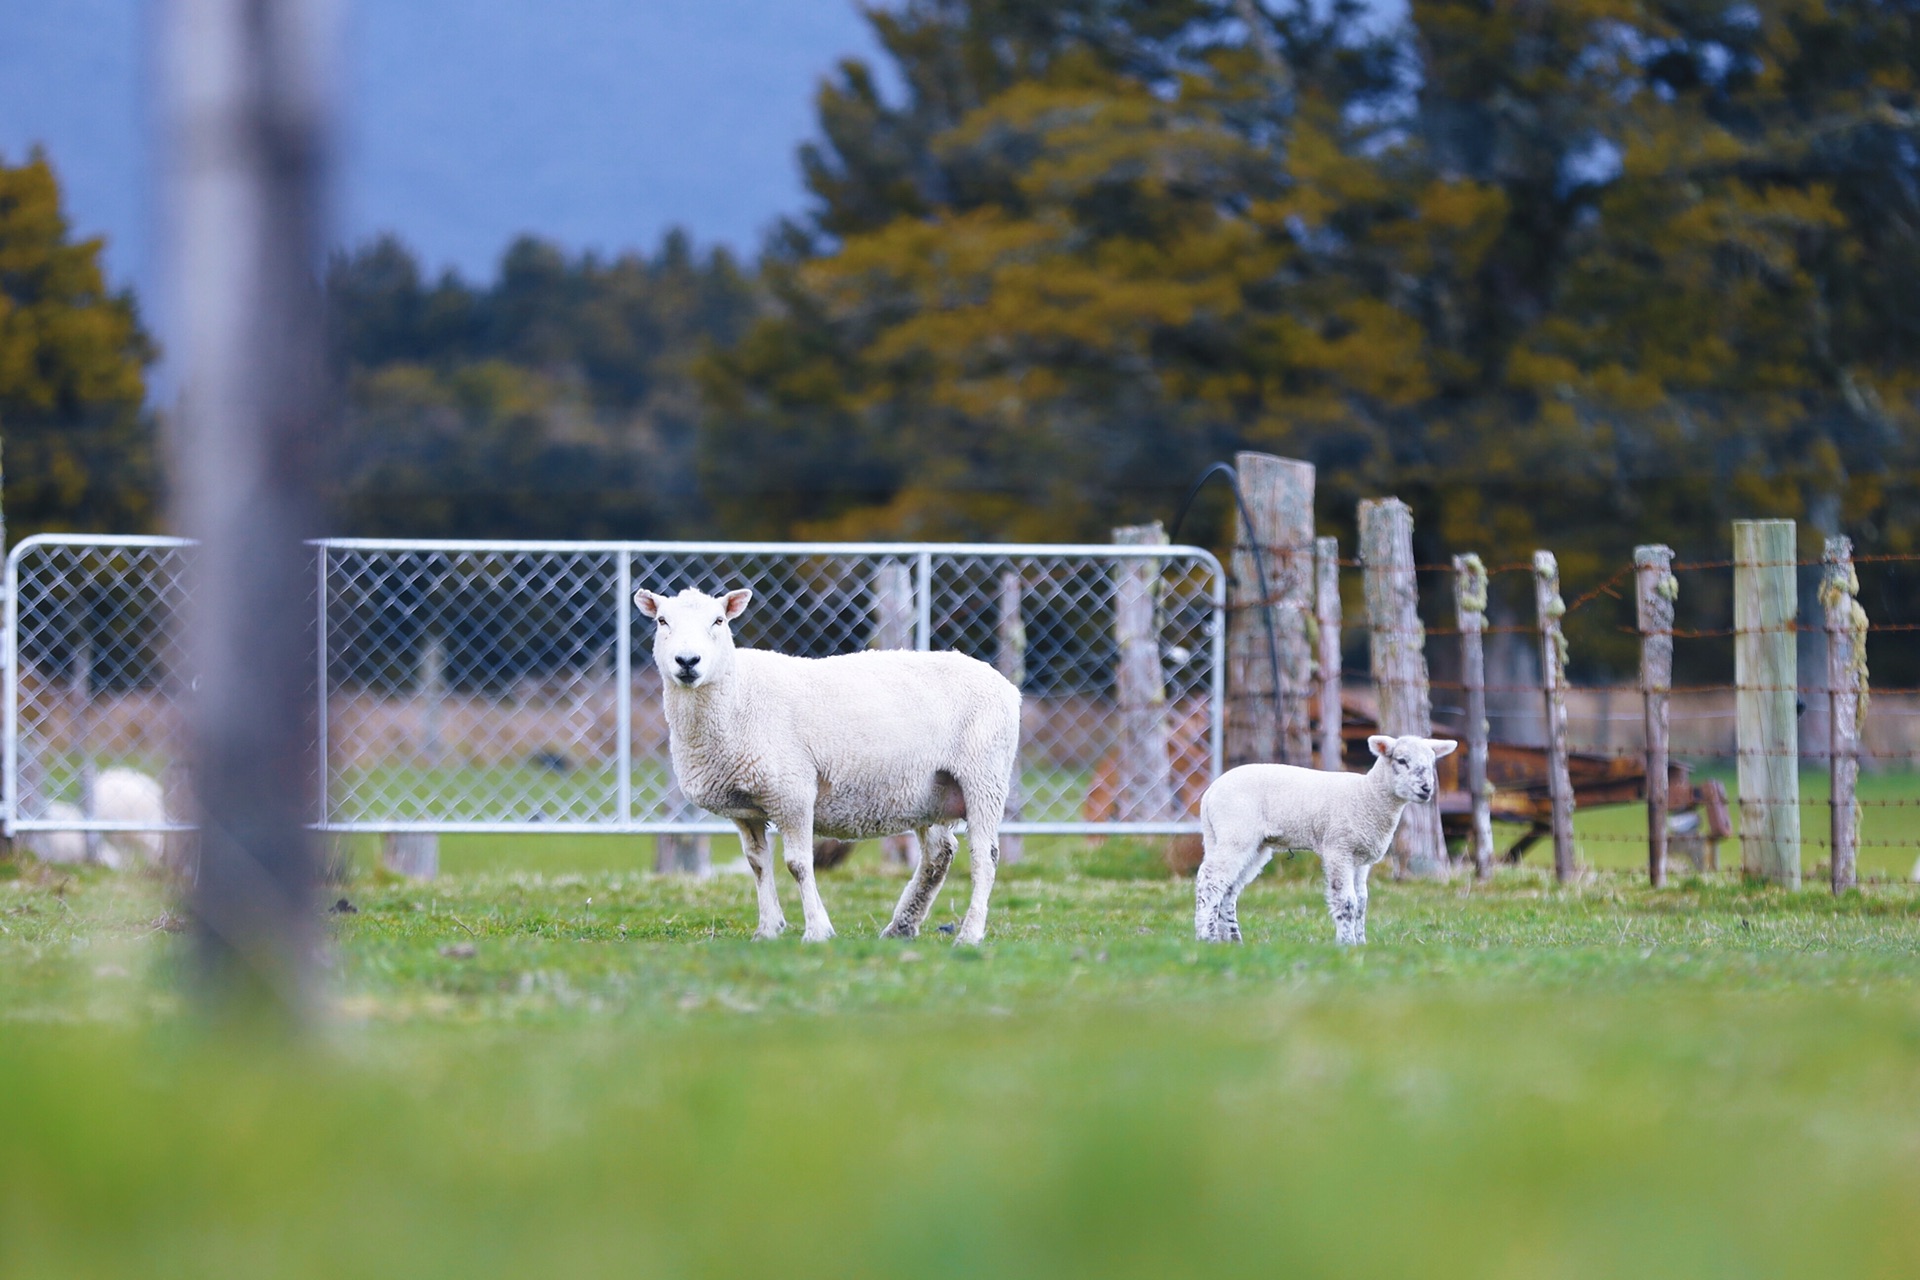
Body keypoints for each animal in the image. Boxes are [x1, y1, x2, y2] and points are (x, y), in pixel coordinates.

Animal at [633, 587, 1029, 948]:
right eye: (662, 621)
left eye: (718, 620)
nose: (688, 661)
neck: (738, 695)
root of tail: (1005, 685)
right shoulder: (746, 809)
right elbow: (757, 863)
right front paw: (768, 929)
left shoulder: (792, 791)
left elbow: (798, 864)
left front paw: (817, 930)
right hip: (930, 791)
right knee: (939, 854)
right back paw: (901, 926)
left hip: (984, 774)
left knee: (985, 857)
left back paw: (970, 933)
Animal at [1198, 736, 1451, 948]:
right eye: (1401, 760)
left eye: (1432, 762)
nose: (1426, 789)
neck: (1367, 796)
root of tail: (1209, 793)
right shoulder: (1338, 848)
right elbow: (1346, 901)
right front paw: (1346, 943)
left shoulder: (1361, 859)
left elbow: (1362, 902)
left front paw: (1361, 942)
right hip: (1236, 831)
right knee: (1210, 880)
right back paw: (1205, 936)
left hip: (1247, 842)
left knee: (1229, 888)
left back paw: (1231, 940)